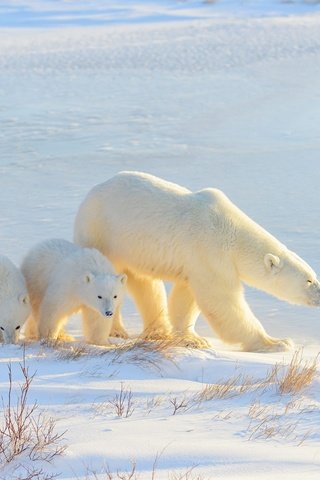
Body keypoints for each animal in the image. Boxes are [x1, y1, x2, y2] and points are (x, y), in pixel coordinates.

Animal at [74, 171, 320, 350]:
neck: (232, 233)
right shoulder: (210, 251)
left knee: (145, 284)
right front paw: (276, 342)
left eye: (314, 275)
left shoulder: (196, 262)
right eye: (308, 280)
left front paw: (192, 338)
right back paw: (116, 330)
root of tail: (90, 193)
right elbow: (222, 301)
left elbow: (186, 296)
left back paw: (158, 331)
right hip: (103, 234)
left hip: (134, 249)